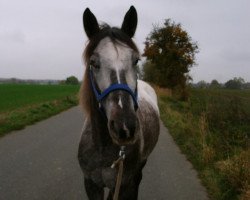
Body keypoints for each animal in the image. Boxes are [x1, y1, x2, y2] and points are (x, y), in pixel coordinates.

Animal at [78, 5, 160, 199]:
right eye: (94, 62)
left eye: (136, 60)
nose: (124, 127)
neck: (102, 148)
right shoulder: (91, 184)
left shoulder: (124, 185)